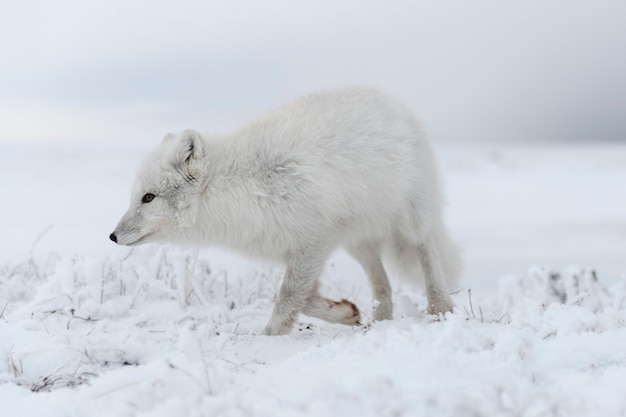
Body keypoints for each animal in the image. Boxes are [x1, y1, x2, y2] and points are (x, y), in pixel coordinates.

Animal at [108, 88, 458, 334]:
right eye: (136, 197)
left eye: (148, 198)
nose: (112, 236)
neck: (239, 186)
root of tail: (395, 103)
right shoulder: (299, 250)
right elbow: (305, 300)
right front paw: (344, 313)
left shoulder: (314, 242)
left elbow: (288, 297)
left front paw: (270, 338)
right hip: (356, 241)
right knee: (382, 283)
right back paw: (380, 320)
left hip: (411, 220)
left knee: (427, 253)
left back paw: (440, 308)